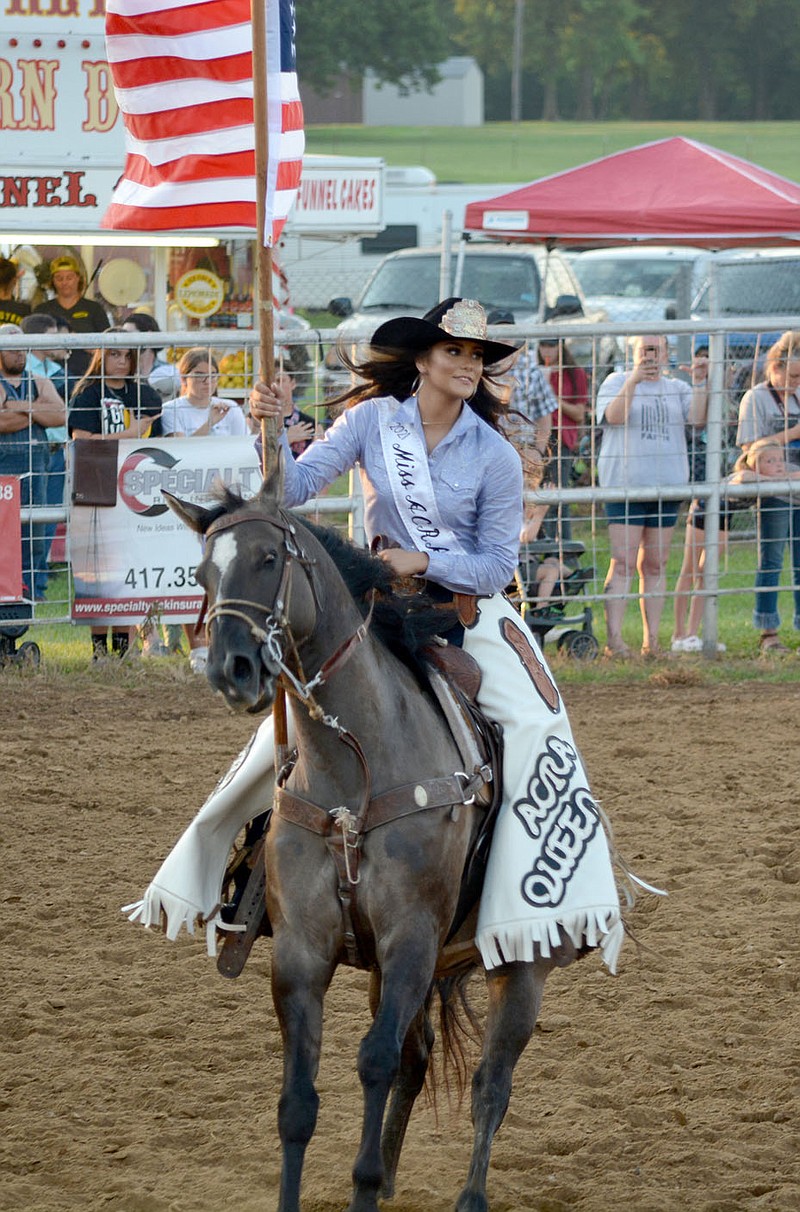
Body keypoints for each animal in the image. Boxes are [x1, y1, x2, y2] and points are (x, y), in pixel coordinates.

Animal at [166, 465, 576, 1212]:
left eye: (268, 559)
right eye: (203, 573)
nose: (230, 669)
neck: (354, 769)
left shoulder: (410, 938)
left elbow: (375, 1063)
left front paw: (361, 1179)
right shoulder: (304, 951)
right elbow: (299, 1101)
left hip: (518, 963)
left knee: (490, 1083)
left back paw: (466, 1195)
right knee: (421, 1060)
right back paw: (387, 1173)